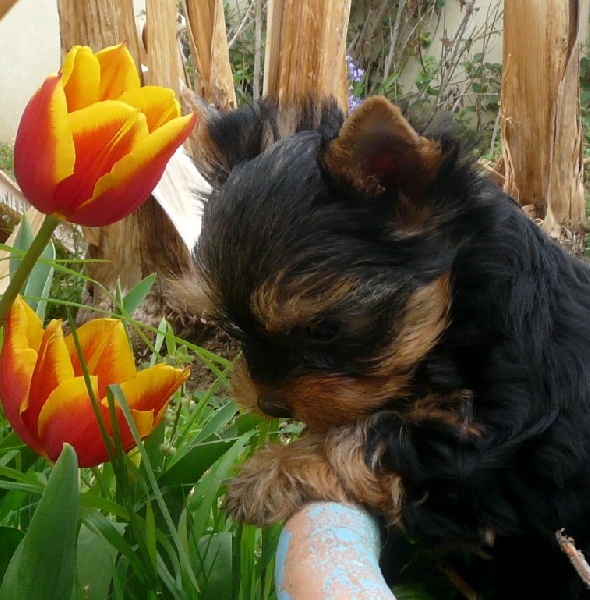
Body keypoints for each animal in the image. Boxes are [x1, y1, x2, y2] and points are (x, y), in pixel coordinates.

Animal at [187, 96, 590, 596]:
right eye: (235, 328)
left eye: (324, 330)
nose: (271, 405)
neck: (463, 300)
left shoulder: (492, 431)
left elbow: (379, 436)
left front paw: (268, 473)